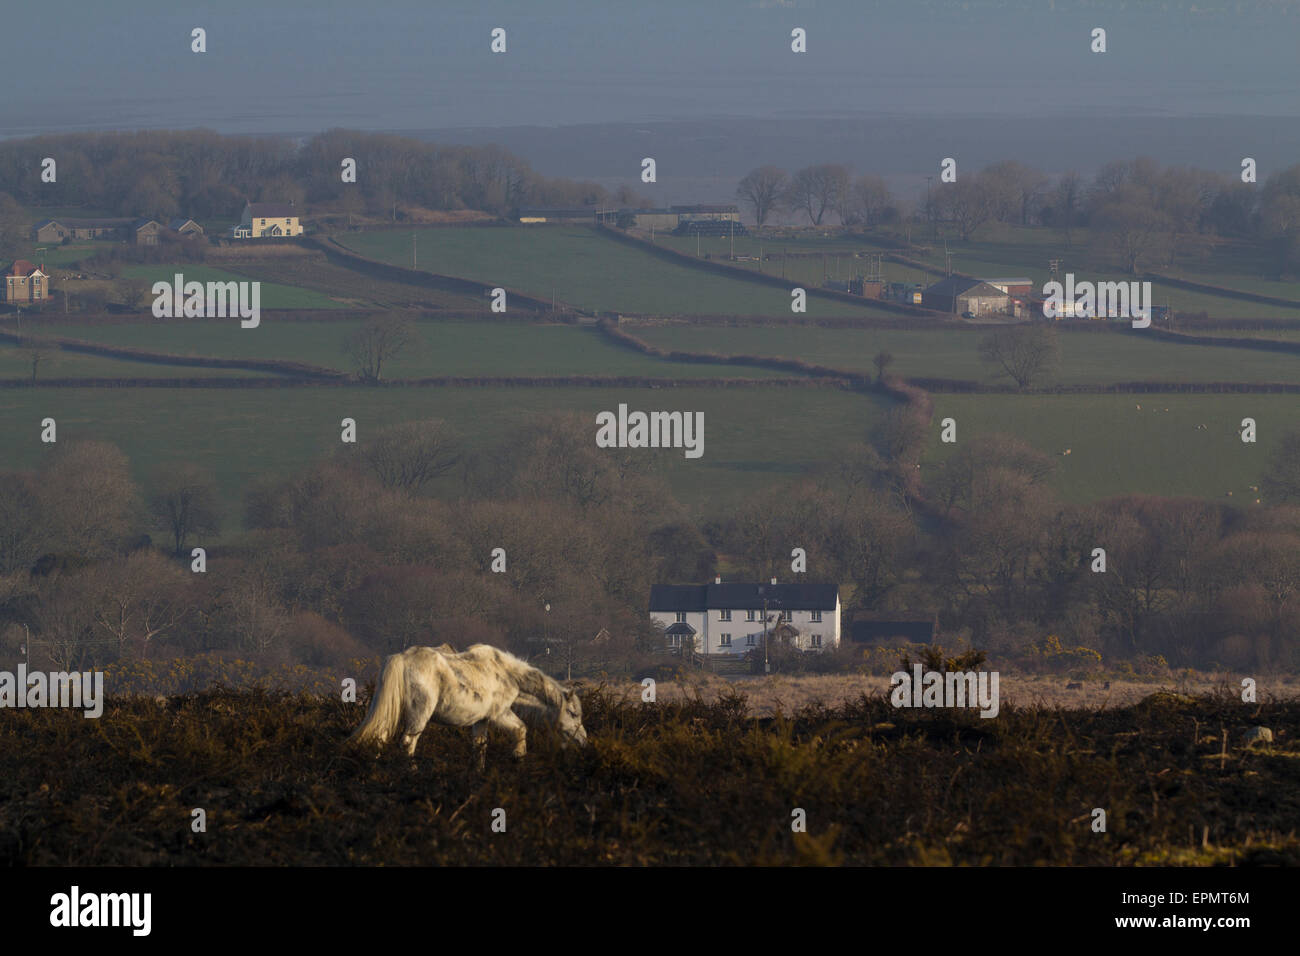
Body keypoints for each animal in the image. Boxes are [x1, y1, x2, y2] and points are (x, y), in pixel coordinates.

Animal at [345, 642, 590, 770]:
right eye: (572, 713)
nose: (583, 739)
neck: (508, 674)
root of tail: (402, 658)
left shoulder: (482, 721)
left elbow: (479, 747)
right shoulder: (500, 714)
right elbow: (521, 730)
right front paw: (517, 758)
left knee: (381, 735)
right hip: (419, 714)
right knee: (408, 743)